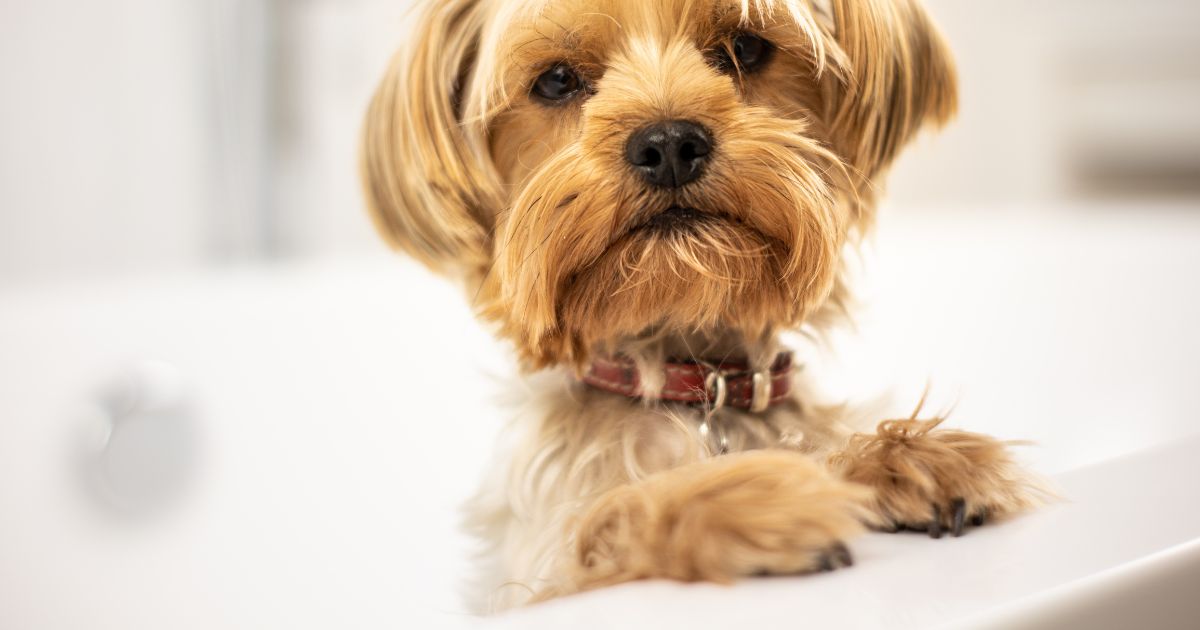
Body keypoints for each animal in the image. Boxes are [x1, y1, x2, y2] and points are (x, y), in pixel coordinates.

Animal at [355, 0, 1041, 609]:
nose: (668, 143)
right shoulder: (542, 578)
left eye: (745, 48)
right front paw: (749, 504)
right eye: (556, 80)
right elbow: (614, 519)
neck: (693, 380)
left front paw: (907, 459)